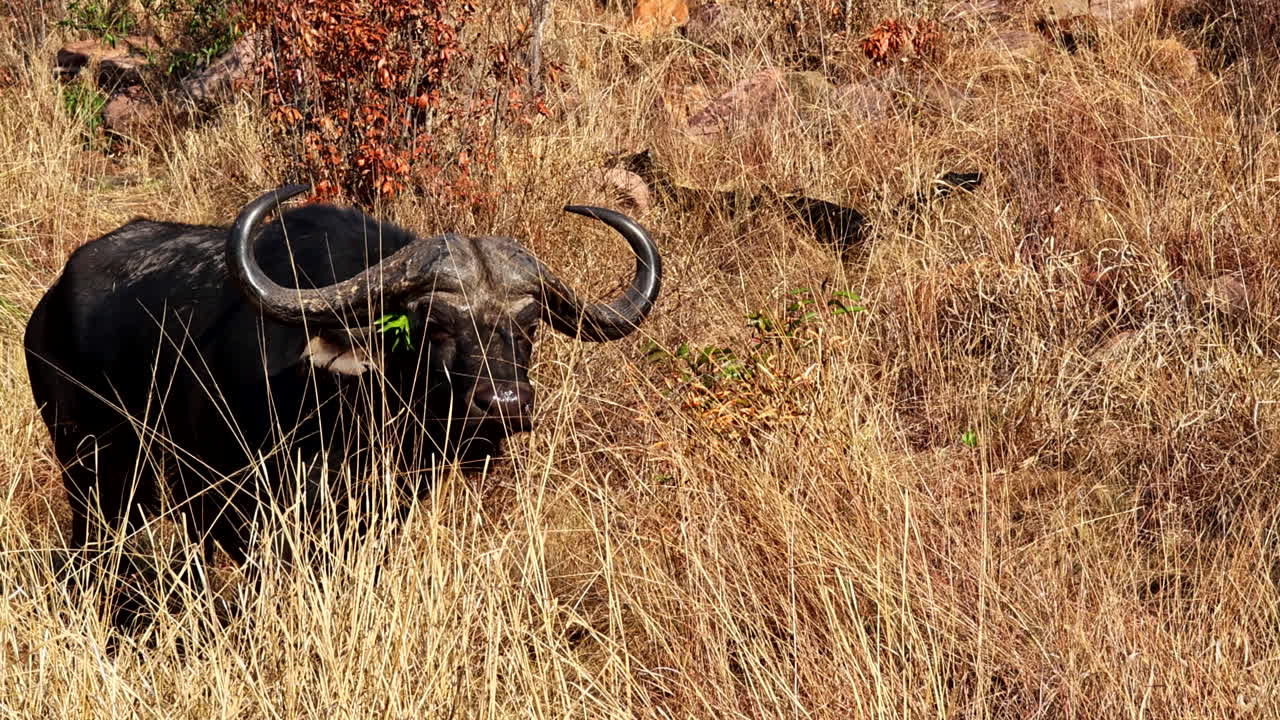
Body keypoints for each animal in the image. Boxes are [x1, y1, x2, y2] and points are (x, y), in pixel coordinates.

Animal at [25, 185, 662, 568]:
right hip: (90, 468)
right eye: (433, 322)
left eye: (529, 325)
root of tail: (48, 310)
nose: (504, 401)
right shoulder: (237, 512)